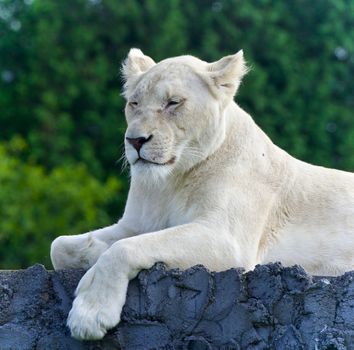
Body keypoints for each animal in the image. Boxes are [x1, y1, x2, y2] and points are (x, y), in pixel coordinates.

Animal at [49, 49, 354, 340]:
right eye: (134, 103)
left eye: (173, 102)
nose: (135, 140)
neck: (171, 181)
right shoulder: (135, 224)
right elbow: (60, 245)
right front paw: (93, 253)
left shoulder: (227, 239)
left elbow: (124, 248)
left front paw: (89, 315)